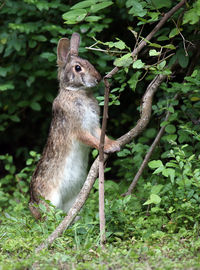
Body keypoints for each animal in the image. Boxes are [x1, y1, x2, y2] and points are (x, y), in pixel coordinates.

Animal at [29, 32, 120, 220]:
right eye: (78, 68)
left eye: (88, 62)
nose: (98, 78)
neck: (77, 92)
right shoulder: (78, 129)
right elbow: (92, 140)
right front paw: (108, 148)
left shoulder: (94, 125)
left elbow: (101, 135)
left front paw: (114, 144)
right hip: (51, 198)